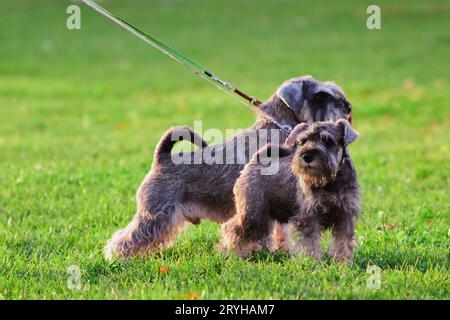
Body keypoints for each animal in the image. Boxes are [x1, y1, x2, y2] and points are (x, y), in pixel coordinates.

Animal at [220, 119, 360, 262]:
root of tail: (255, 161)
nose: (307, 156)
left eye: (327, 140)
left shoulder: (345, 215)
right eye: (303, 141)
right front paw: (313, 261)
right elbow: (310, 241)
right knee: (232, 228)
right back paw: (235, 253)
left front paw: (343, 261)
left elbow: (343, 241)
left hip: (263, 216)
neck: (330, 181)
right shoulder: (309, 216)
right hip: (253, 214)